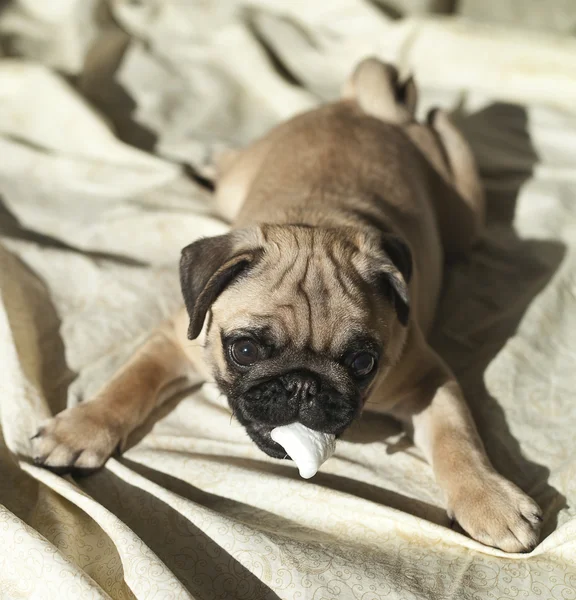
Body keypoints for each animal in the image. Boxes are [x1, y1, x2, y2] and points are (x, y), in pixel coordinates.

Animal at [32, 59, 544, 552]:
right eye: (244, 351)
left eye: (363, 362)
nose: (302, 385)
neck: (316, 223)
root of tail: (361, 106)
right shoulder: (174, 340)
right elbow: (127, 384)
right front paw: (80, 429)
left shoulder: (427, 379)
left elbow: (458, 437)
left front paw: (489, 498)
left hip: (465, 219)